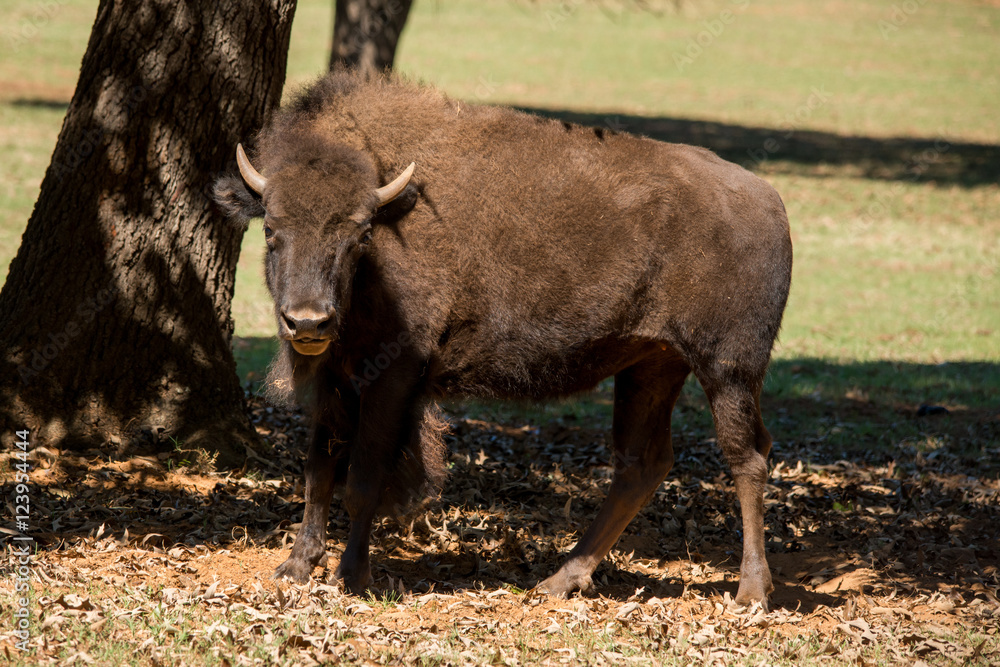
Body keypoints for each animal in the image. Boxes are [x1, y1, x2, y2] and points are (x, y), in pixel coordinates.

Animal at [214, 71, 792, 606]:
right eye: (271, 229)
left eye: (359, 235)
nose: (307, 321)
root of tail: (770, 201)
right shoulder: (337, 380)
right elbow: (318, 470)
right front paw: (296, 566)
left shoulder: (392, 378)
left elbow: (363, 479)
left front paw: (352, 576)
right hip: (652, 365)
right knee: (642, 463)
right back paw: (559, 580)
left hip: (728, 370)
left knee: (747, 457)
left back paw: (751, 591)